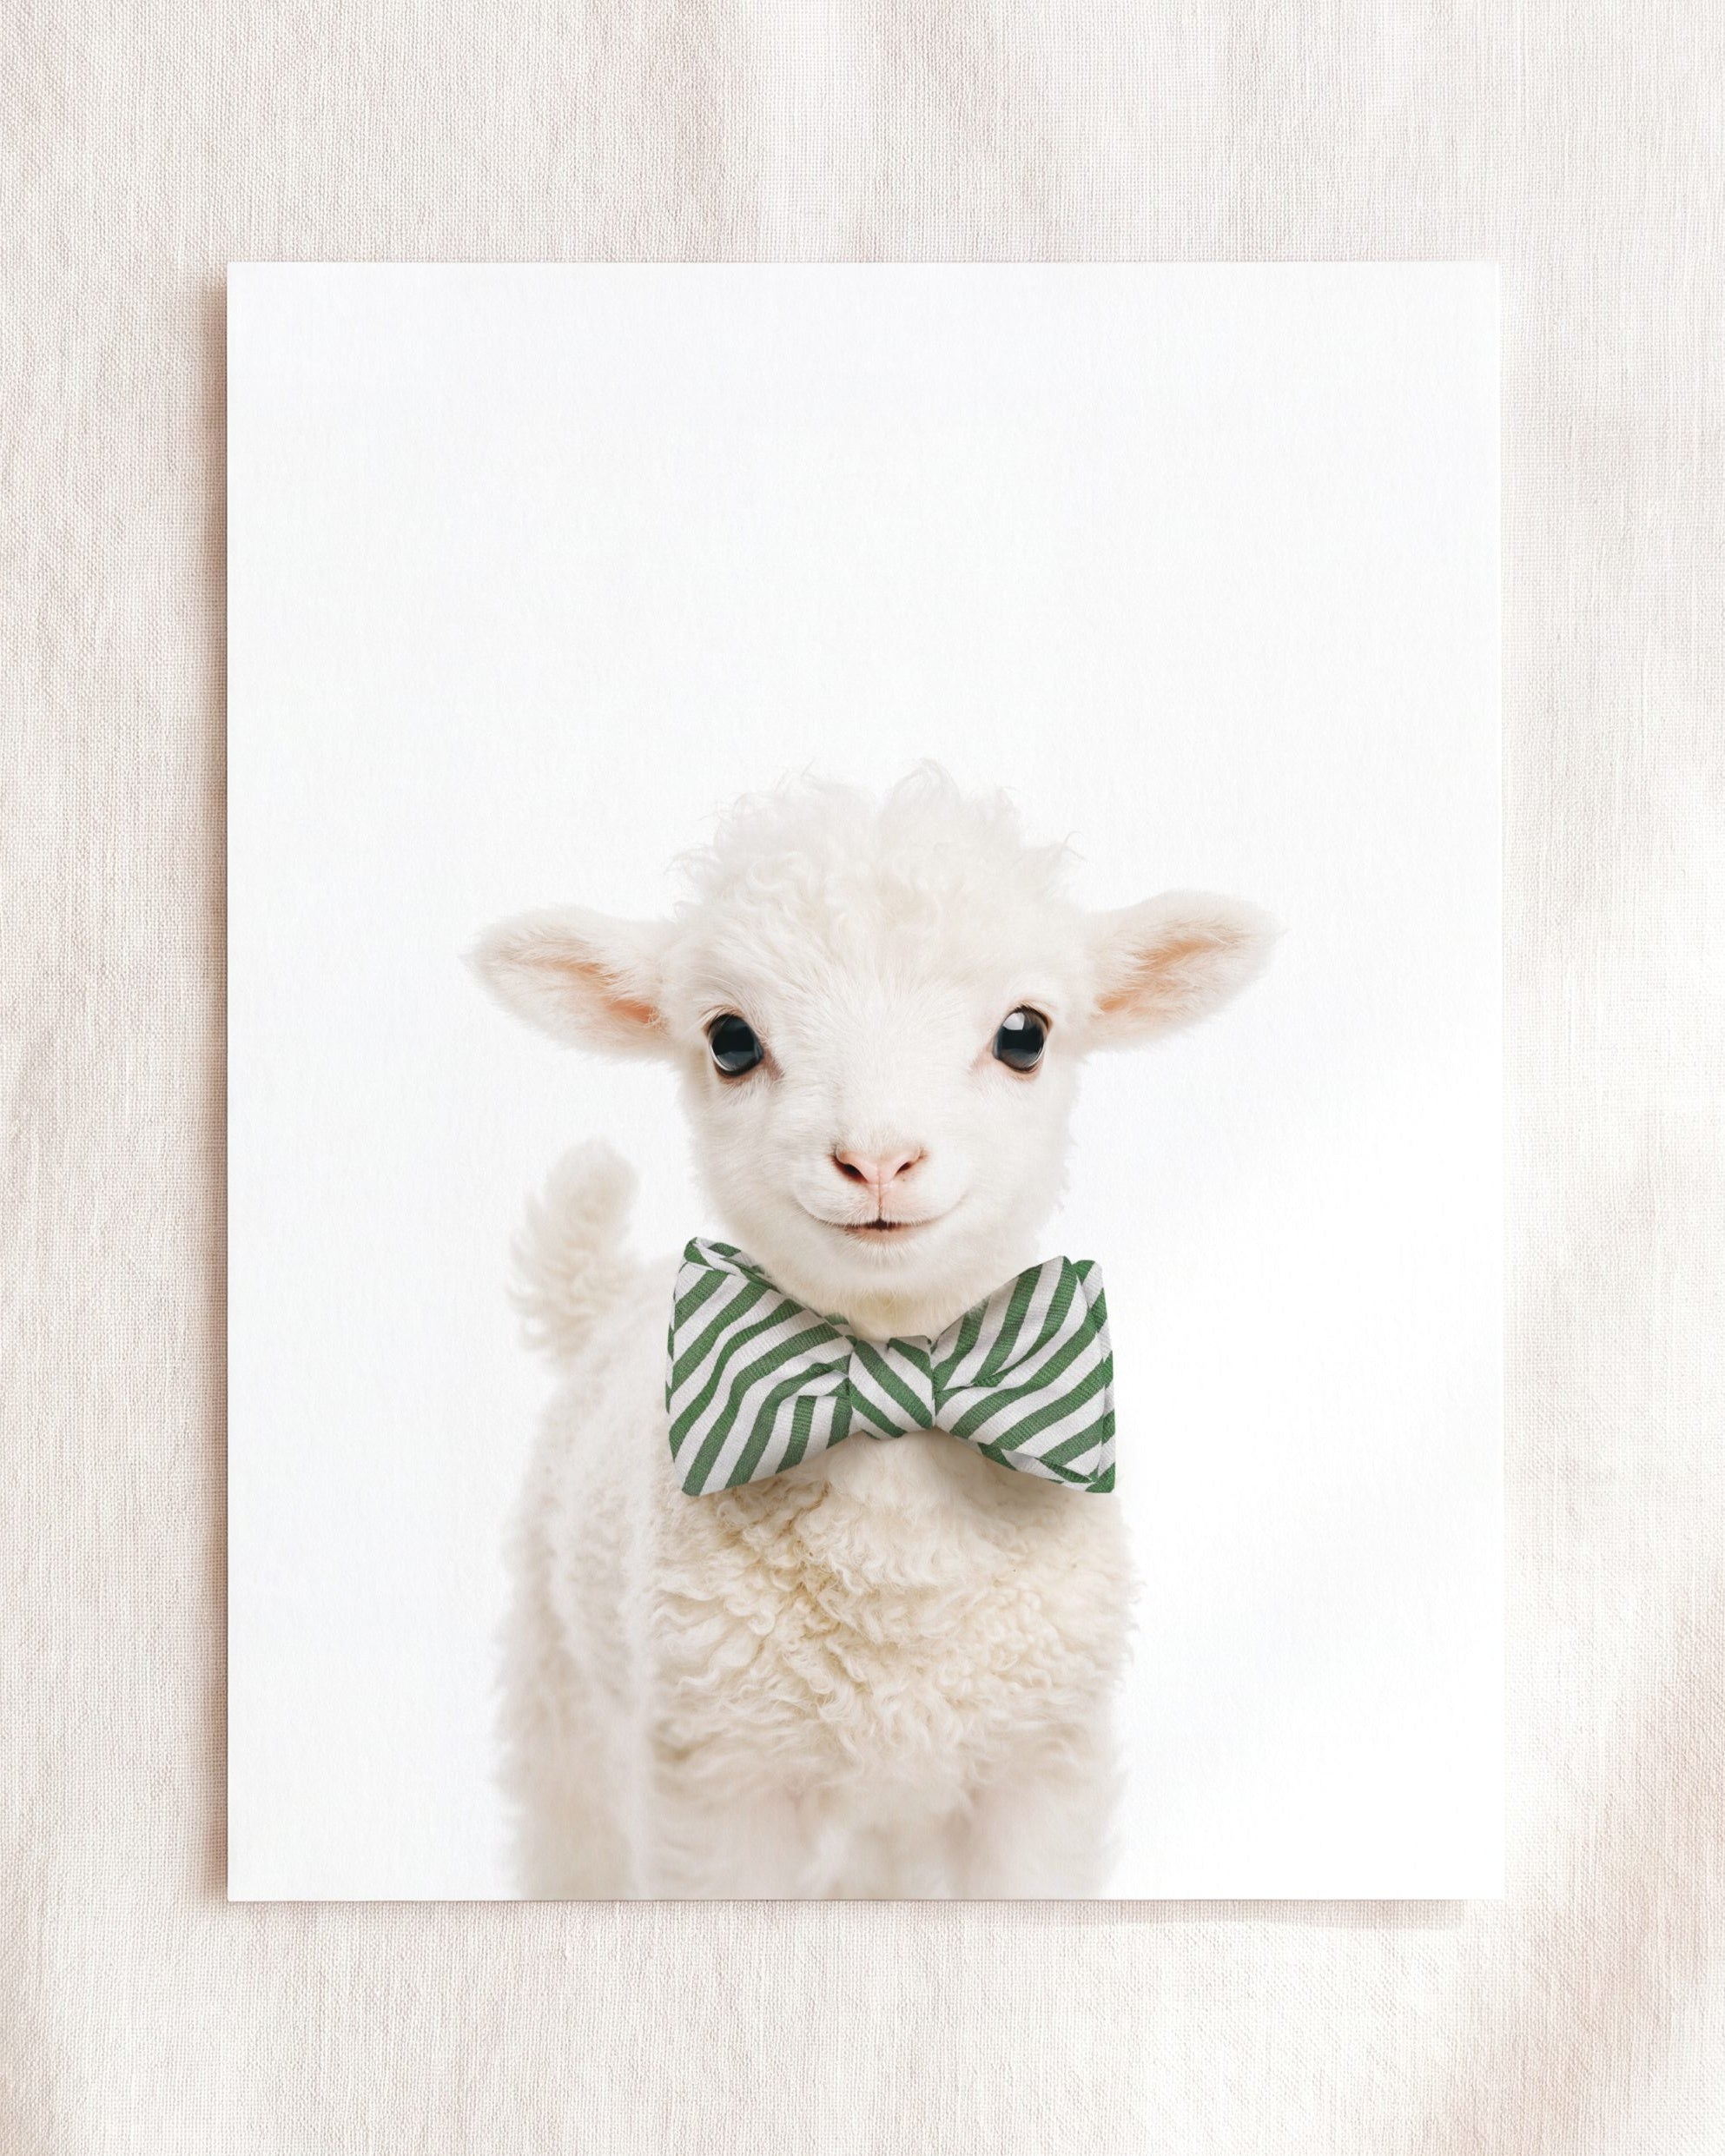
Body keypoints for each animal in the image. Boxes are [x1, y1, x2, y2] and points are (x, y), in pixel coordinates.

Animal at [471, 765, 1274, 1897]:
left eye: (1025, 1033)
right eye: (730, 1040)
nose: (879, 1159)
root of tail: (608, 1296)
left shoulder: (1040, 1768)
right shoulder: (717, 1782)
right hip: (566, 1710)